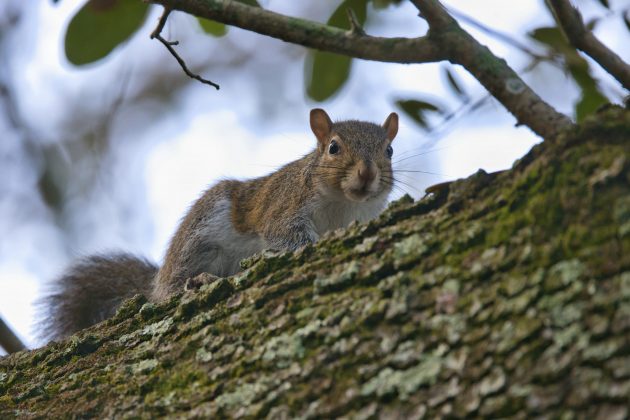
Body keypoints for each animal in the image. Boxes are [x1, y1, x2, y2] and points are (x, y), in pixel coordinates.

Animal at [38, 108, 400, 342]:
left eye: (390, 150)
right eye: (333, 148)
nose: (367, 173)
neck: (343, 205)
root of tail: (157, 282)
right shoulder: (284, 208)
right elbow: (286, 234)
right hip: (201, 235)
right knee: (172, 289)